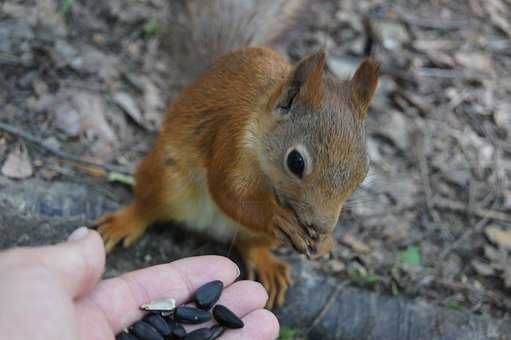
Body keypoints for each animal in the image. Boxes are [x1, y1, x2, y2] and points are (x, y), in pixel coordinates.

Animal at [98, 0, 378, 308]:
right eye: (296, 162)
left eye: (364, 171)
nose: (322, 225)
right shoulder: (230, 139)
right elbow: (228, 192)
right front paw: (276, 217)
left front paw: (326, 242)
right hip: (166, 177)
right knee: (149, 206)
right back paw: (125, 222)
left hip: (257, 235)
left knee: (250, 243)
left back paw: (267, 264)